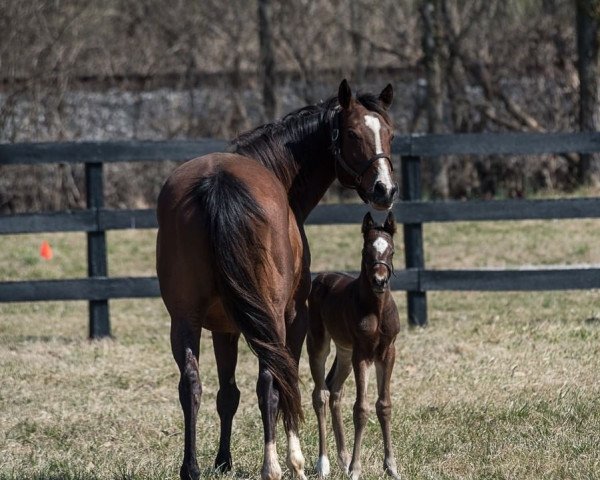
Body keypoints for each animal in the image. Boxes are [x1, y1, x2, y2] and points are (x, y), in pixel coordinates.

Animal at [308, 212, 400, 480]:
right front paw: (356, 469)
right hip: (319, 343)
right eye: (365, 250)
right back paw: (324, 463)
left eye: (391, 251)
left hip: (345, 352)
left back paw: (343, 458)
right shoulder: (363, 354)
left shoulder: (387, 352)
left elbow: (384, 405)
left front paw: (391, 466)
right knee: (320, 394)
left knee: (335, 390)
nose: (380, 281)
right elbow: (361, 408)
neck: (376, 309)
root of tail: (322, 277)